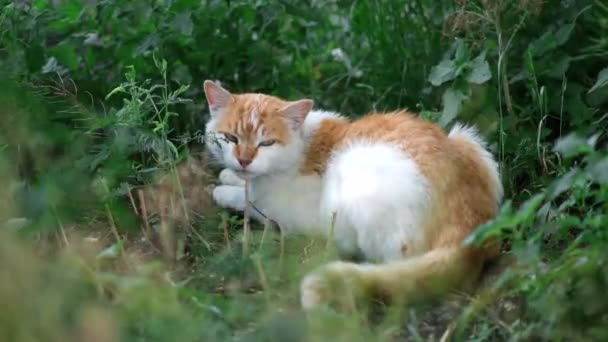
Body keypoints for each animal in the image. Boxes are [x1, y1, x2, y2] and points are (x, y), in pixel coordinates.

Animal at [202, 80, 502, 310]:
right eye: (230, 138)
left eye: (266, 143)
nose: (243, 160)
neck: (301, 144)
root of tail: (471, 229)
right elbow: (245, 185)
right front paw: (230, 176)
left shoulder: (293, 212)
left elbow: (253, 202)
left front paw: (224, 190)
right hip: (468, 139)